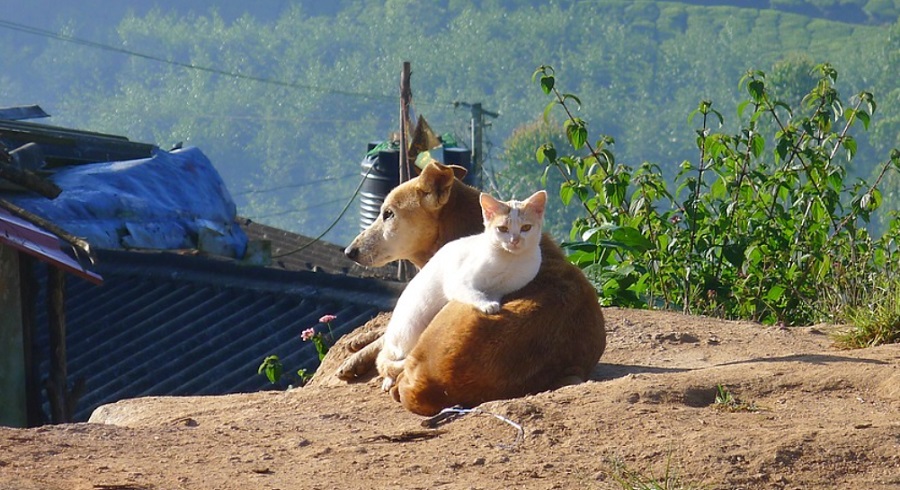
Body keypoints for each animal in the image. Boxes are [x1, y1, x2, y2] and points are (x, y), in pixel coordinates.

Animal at [374, 189, 544, 390]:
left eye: (526, 228)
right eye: (502, 229)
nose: (515, 240)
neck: (511, 260)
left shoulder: (504, 287)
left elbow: (494, 293)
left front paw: (492, 302)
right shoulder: (458, 282)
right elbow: (472, 292)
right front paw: (486, 305)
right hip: (409, 329)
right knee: (390, 358)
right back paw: (388, 379)